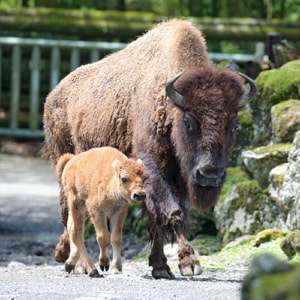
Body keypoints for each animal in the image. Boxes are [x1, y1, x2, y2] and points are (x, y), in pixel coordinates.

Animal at [56, 146, 146, 278]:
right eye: (124, 178)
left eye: (144, 178)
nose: (140, 195)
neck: (112, 180)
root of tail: (71, 161)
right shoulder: (97, 211)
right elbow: (103, 238)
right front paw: (104, 263)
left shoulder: (119, 213)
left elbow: (116, 238)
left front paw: (116, 268)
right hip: (76, 203)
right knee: (77, 233)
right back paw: (92, 270)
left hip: (83, 210)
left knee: (71, 226)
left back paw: (70, 263)